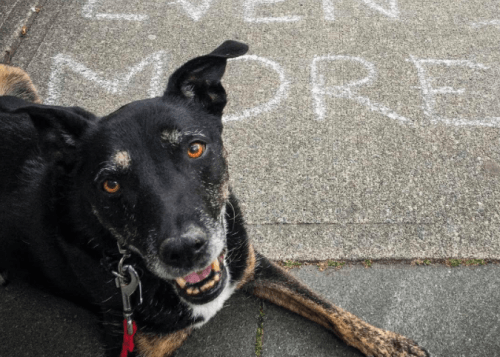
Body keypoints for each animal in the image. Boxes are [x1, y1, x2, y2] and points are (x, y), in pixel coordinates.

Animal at [0, 42, 430, 356]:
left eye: (194, 148)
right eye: (110, 184)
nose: (184, 249)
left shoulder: (252, 263)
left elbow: (326, 306)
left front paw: (388, 343)